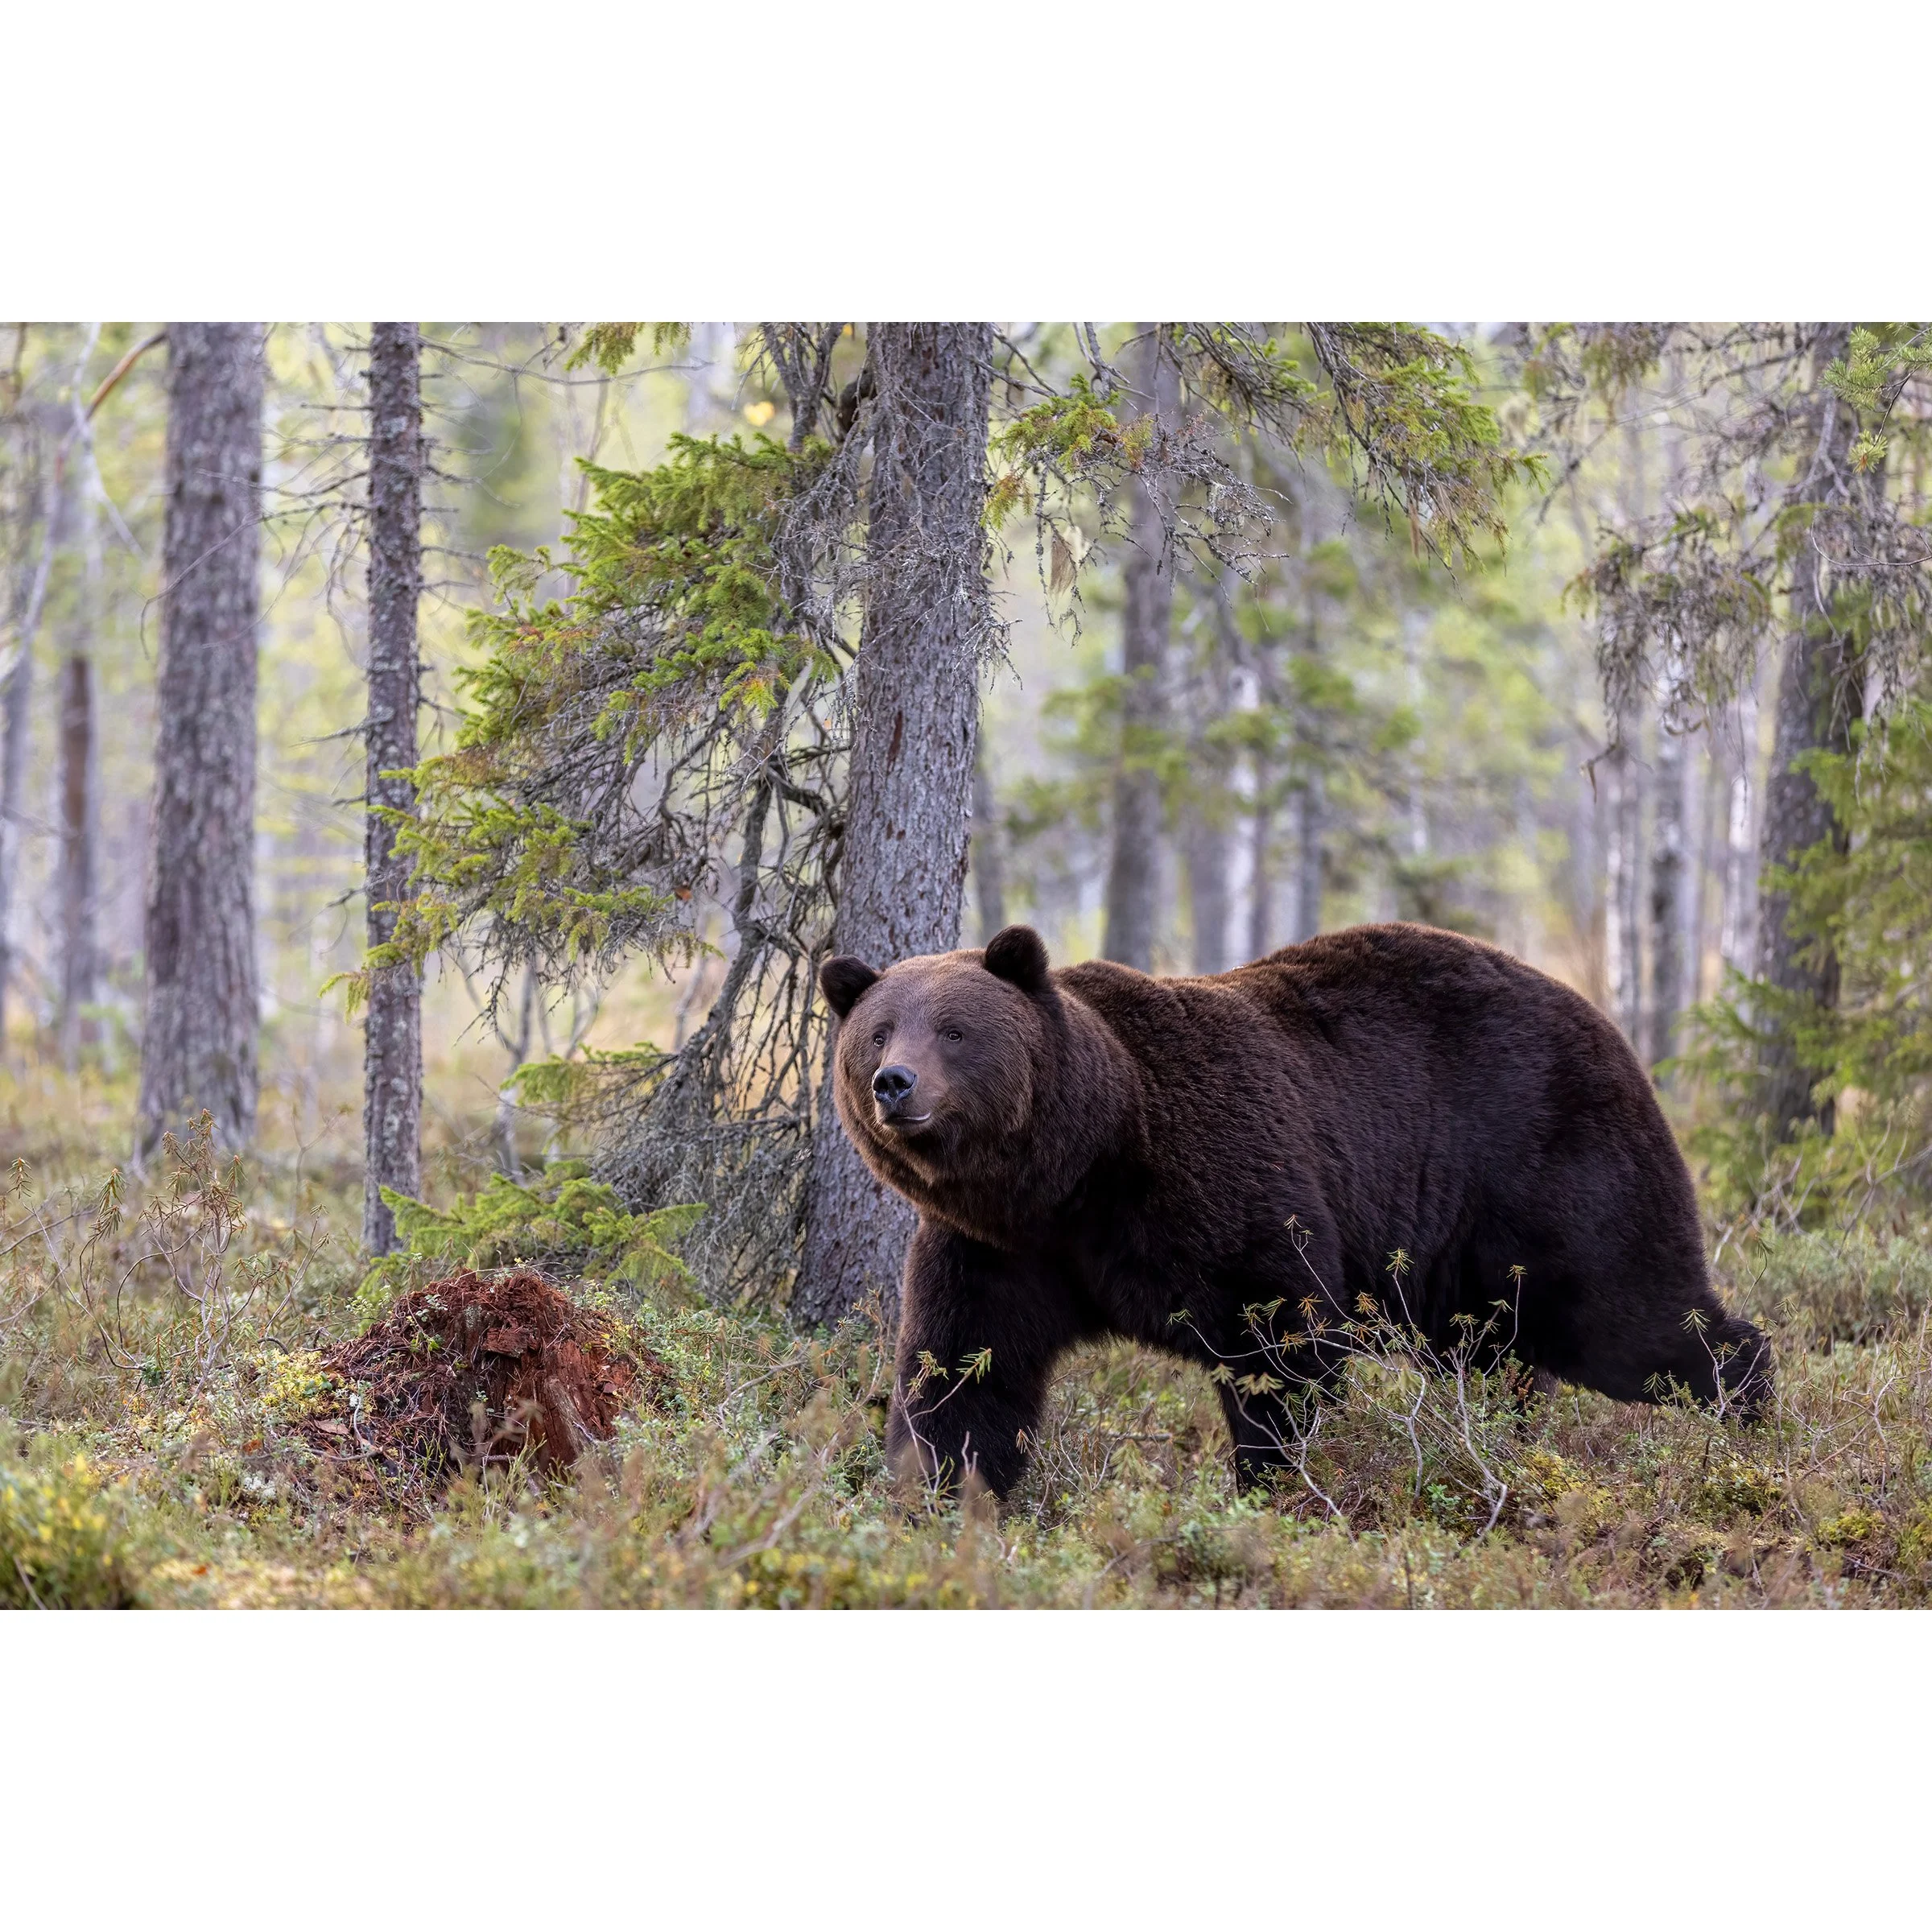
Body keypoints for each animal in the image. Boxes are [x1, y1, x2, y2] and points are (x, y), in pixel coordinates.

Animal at [818, 921, 1773, 1500]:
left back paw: (1752, 1416)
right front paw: (937, 1490)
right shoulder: (999, 1248)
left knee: (1631, 1314)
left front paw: (1275, 1484)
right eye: (879, 1029)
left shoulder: (1218, 1184)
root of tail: (1608, 1024)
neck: (1080, 1168)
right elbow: (962, 1368)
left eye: (954, 1030)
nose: (894, 1083)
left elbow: (1282, 1342)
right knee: (1493, 1354)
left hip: (1546, 1166)